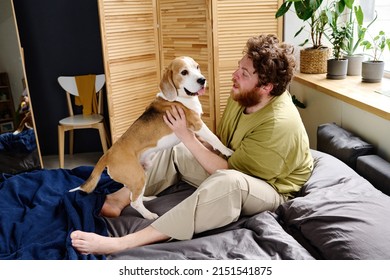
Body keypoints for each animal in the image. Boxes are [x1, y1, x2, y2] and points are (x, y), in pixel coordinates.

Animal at [71, 56, 232, 219]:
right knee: (134, 202)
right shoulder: (198, 124)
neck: (179, 97)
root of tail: (107, 155)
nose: (202, 80)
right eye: (184, 72)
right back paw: (149, 215)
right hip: (138, 176)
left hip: (143, 171)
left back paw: (147, 198)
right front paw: (227, 150)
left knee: (133, 194)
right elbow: (214, 138)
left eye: (197, 67)